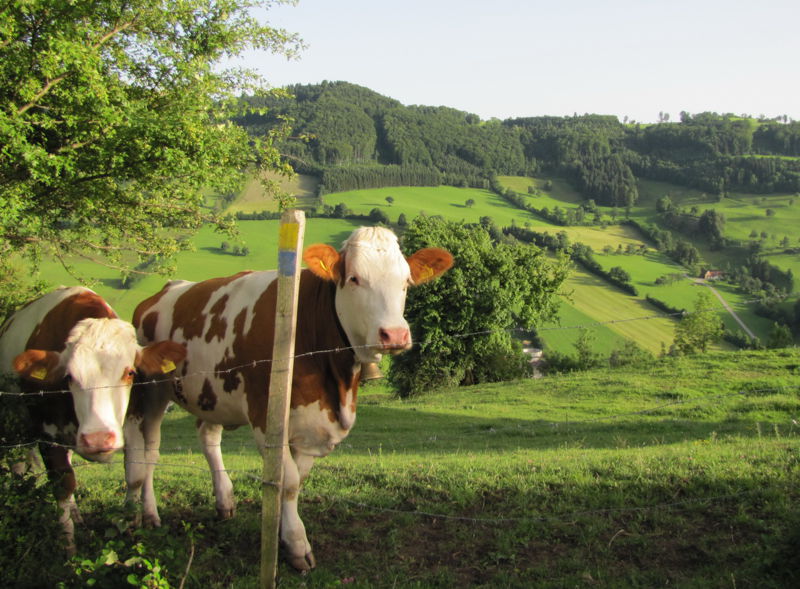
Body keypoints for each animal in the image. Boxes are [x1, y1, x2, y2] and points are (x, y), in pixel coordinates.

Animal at [0, 286, 186, 552]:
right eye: (68, 376)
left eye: (130, 372)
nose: (99, 438)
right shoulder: (47, 434)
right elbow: (63, 483)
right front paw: (68, 546)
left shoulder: (133, 423)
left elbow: (135, 476)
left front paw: (130, 527)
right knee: (18, 466)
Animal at [124, 226, 453, 570]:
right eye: (354, 279)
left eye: (406, 282)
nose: (395, 335)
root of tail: (167, 290)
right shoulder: (267, 418)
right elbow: (290, 482)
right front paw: (297, 546)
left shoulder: (313, 427)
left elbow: (293, 479)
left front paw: (283, 534)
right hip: (150, 388)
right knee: (144, 446)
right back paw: (140, 512)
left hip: (212, 391)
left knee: (207, 436)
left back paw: (224, 501)